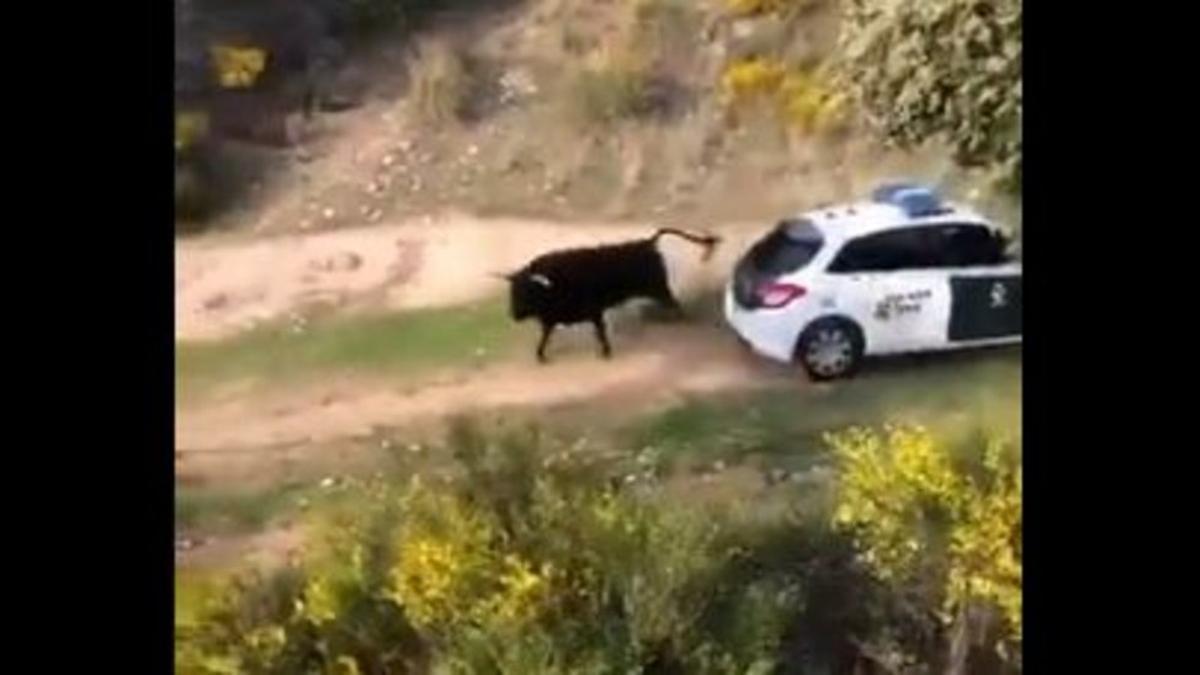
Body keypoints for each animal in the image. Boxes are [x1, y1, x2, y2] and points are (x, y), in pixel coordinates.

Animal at [499, 227, 720, 362]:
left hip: (658, 288)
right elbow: (544, 338)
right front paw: (540, 357)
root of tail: (648, 242)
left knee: (675, 303)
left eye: (527, 291)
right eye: (513, 291)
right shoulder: (552, 319)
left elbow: (600, 332)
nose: (513, 315)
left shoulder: (594, 311)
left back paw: (683, 321)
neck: (554, 284)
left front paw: (606, 353)